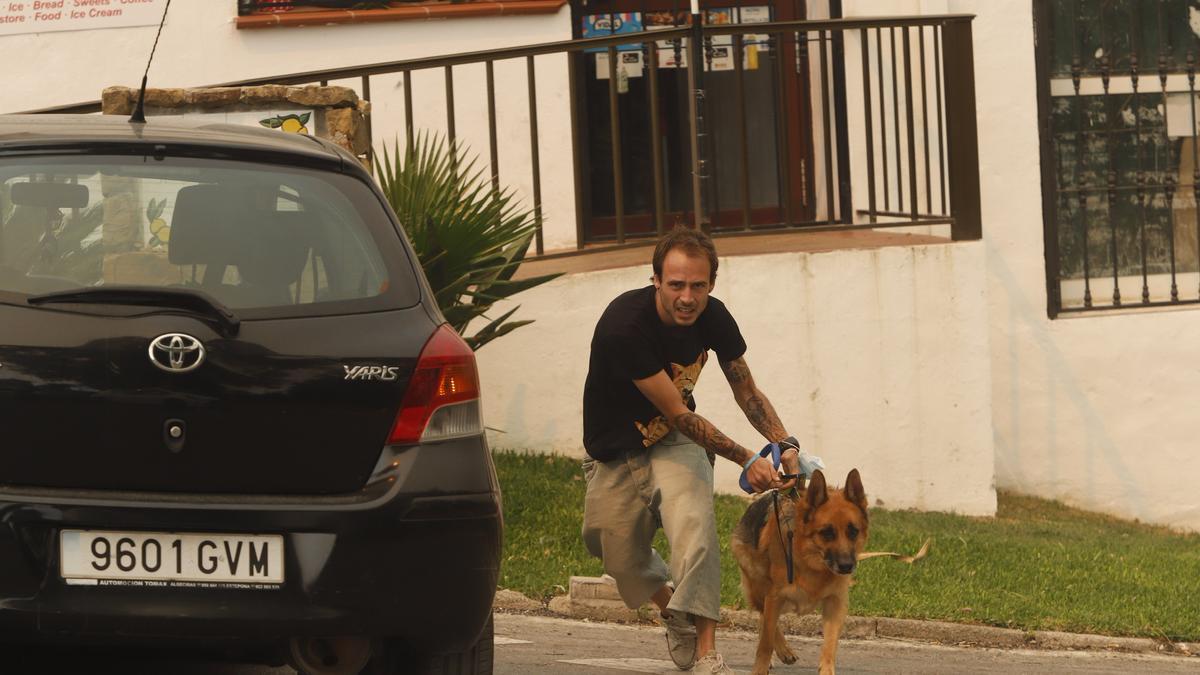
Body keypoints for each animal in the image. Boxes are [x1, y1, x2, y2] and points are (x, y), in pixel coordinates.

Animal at [724, 468, 868, 672]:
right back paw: (781, 650)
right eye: (827, 532)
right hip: (759, 588)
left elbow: (830, 646)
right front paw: (760, 668)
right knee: (765, 620)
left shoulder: (836, 603)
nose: (847, 566)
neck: (811, 561)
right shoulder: (775, 597)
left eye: (853, 531)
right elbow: (765, 643)